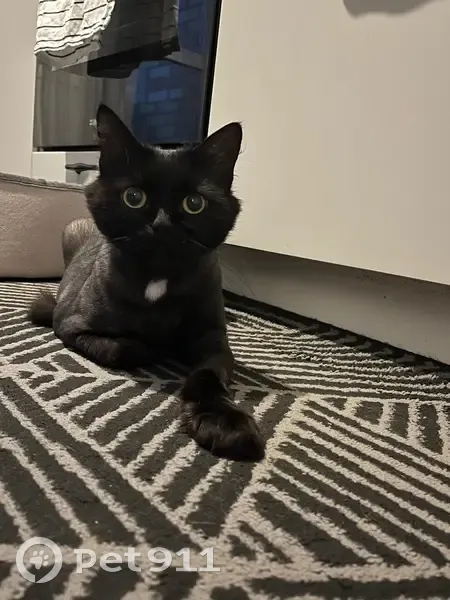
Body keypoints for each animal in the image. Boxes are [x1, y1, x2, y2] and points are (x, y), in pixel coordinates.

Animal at [28, 104, 265, 462]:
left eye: (194, 203)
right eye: (134, 197)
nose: (162, 225)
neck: (157, 277)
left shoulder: (214, 340)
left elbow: (208, 374)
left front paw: (224, 424)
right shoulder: (69, 324)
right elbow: (120, 348)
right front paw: (153, 346)